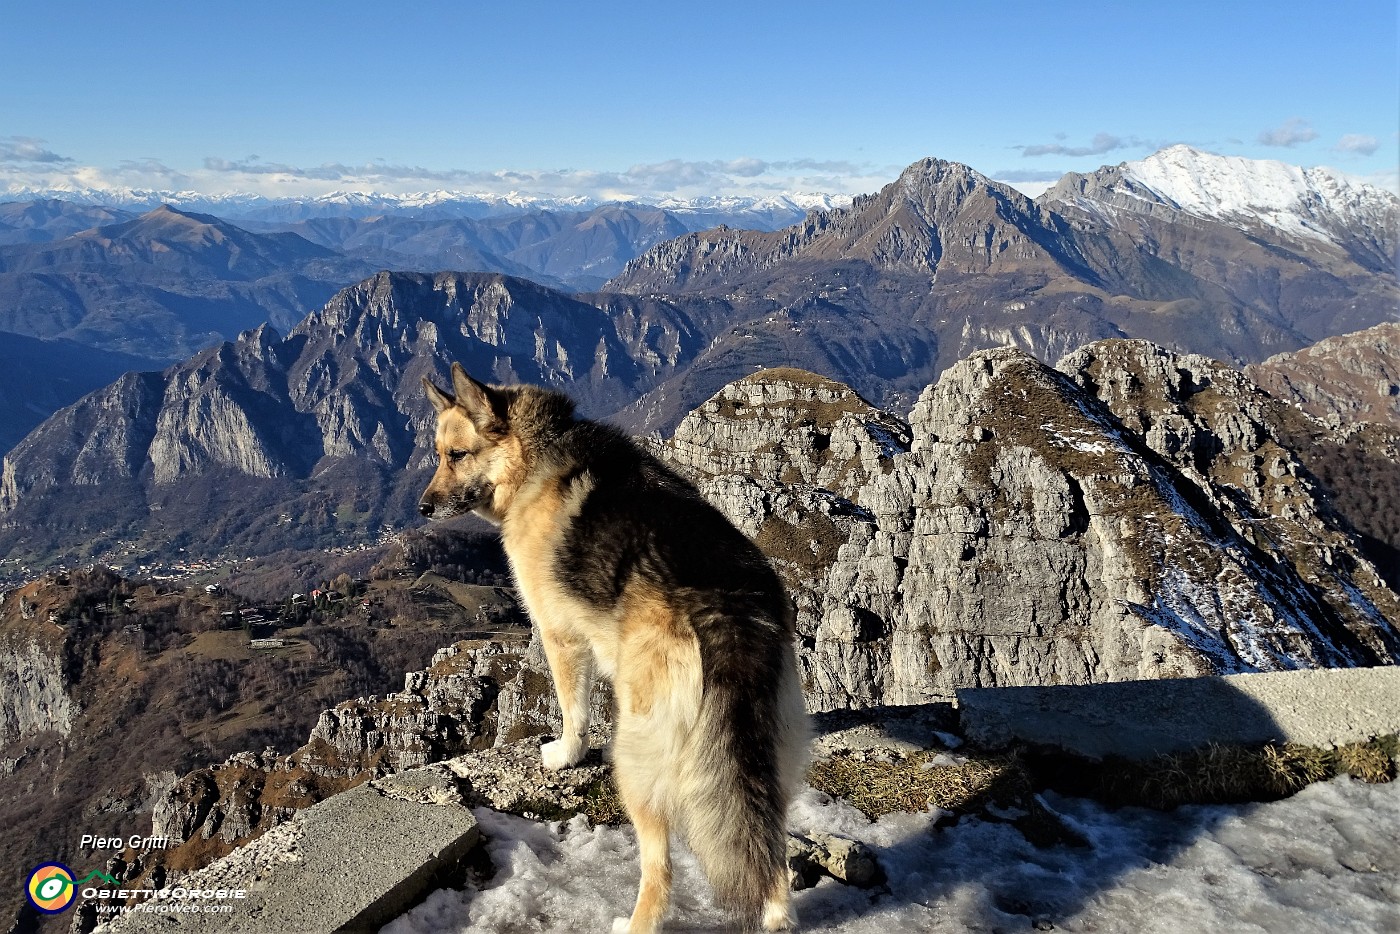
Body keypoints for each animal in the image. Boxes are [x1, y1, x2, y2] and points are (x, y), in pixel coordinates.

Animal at [417, 364, 812, 934]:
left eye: (457, 455)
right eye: (438, 454)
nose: (422, 507)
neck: (535, 455)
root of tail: (727, 613)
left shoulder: (560, 638)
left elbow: (574, 710)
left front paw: (566, 754)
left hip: (638, 762)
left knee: (660, 868)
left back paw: (637, 921)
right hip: (768, 760)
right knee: (766, 849)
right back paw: (777, 916)